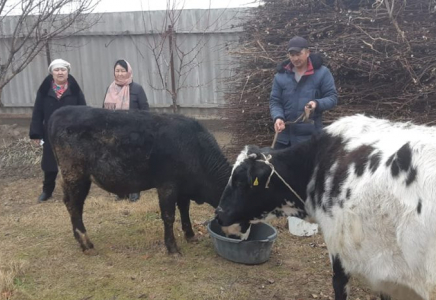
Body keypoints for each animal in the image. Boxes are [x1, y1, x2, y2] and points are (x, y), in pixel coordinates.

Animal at [47, 105, 232, 253]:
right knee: (74, 205)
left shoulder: (184, 187)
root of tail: (60, 112)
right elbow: (169, 215)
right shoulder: (167, 185)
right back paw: (86, 243)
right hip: (75, 174)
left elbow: (184, 210)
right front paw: (172, 248)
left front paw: (190, 236)